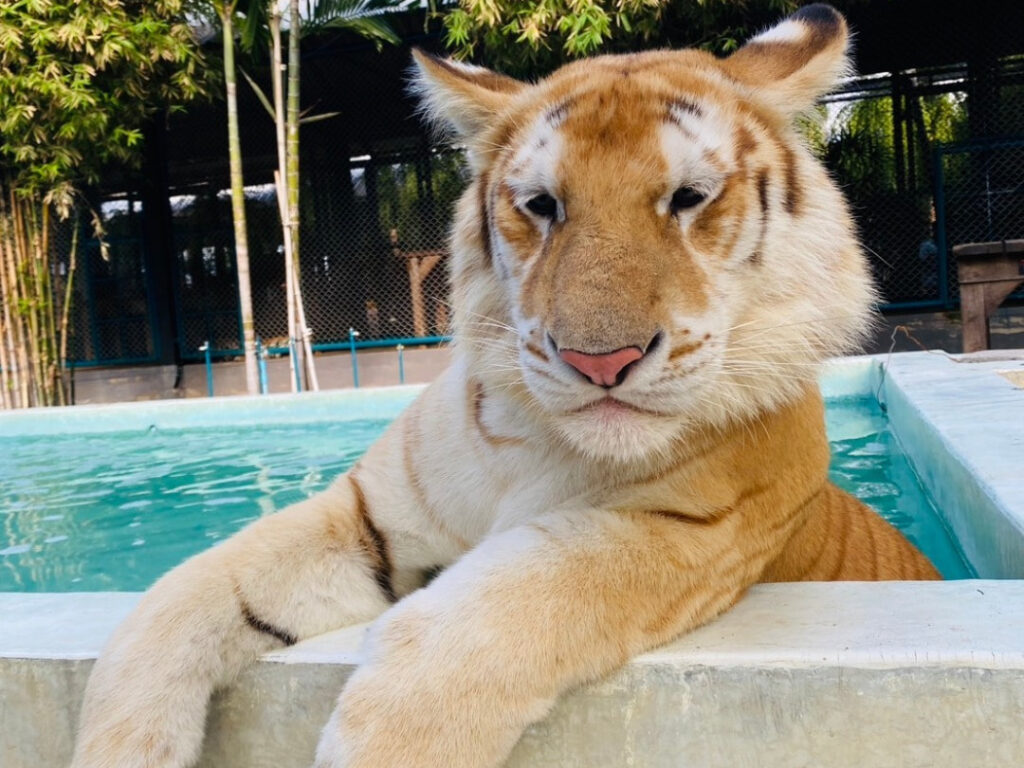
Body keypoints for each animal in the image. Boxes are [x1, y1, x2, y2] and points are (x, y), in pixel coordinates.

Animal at [70, 5, 940, 768]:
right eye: (543, 206)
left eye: (689, 199)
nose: (600, 362)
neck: (534, 443)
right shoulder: (368, 516)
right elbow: (180, 599)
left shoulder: (691, 531)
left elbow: (501, 607)